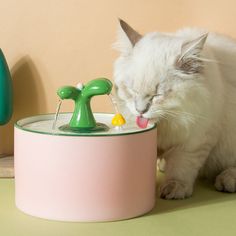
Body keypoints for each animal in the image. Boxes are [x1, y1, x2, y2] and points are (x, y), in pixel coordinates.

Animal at [112, 19, 236, 199]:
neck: (166, 123)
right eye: (132, 91)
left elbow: (181, 167)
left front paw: (174, 189)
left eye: (157, 95)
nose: (140, 110)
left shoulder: (196, 139)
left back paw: (227, 180)